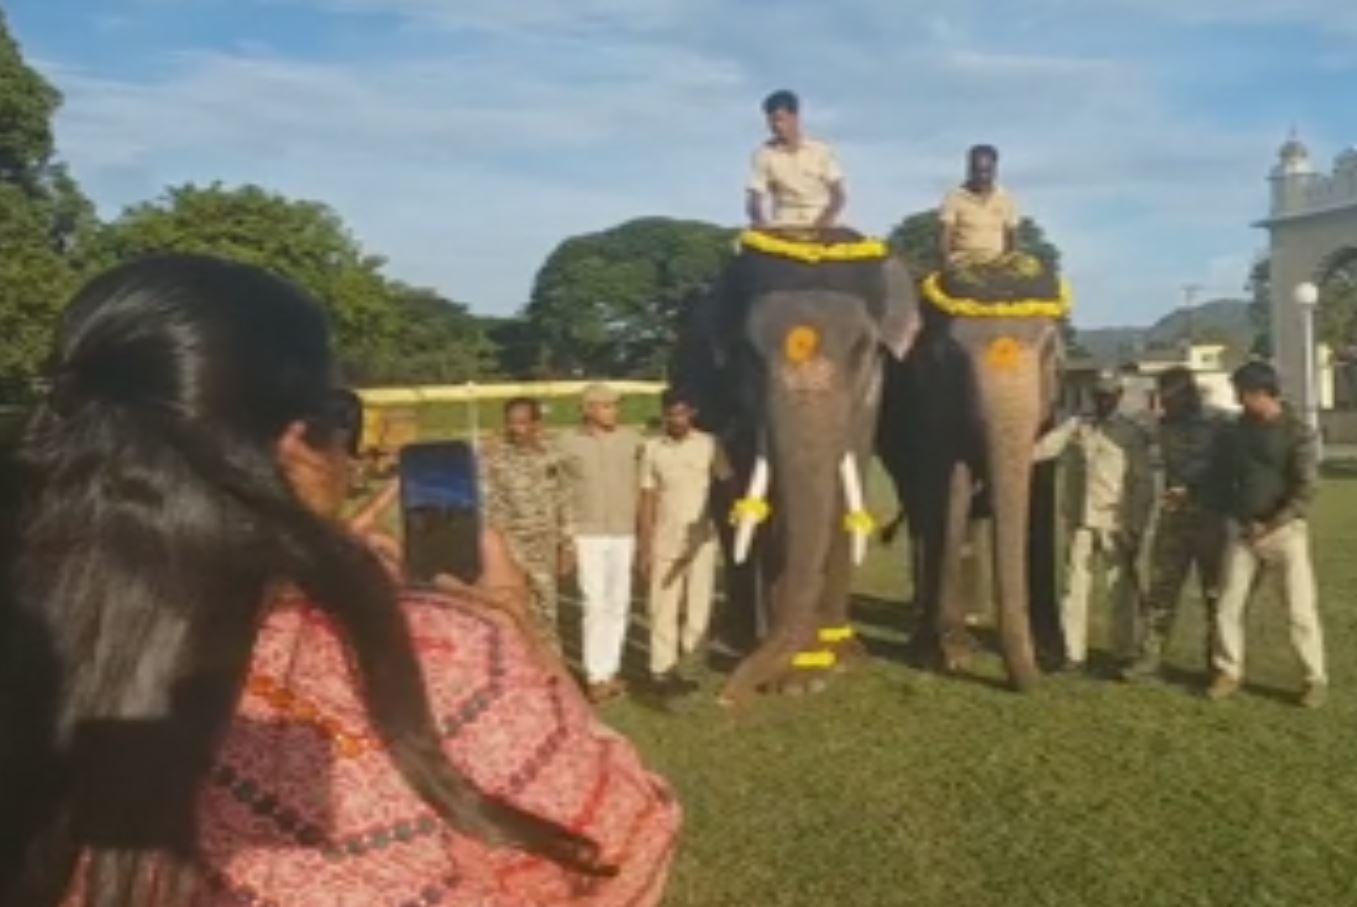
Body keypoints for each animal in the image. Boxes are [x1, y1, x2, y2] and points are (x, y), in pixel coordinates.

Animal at [670, 222, 917, 706]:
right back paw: (740, 636)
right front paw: (794, 676)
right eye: (747, 352)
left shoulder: (870, 396)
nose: (728, 697)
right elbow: (762, 500)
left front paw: (824, 670)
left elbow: (846, 489)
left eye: (863, 348)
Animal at [873, 251, 1074, 689]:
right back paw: (927, 619)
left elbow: (1039, 501)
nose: (1032, 682)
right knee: (922, 513)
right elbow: (950, 490)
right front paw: (950, 656)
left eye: (1052, 355)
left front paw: (1056, 657)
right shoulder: (929, 407)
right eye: (947, 359)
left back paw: (972, 615)